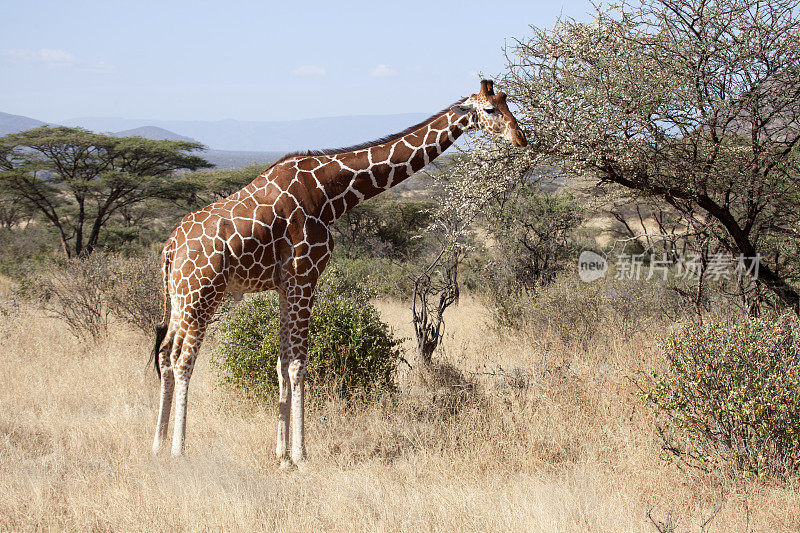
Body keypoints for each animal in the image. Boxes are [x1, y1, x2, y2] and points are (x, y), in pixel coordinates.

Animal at [152, 77, 528, 464]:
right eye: (490, 109)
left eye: (508, 102)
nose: (521, 138)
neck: (329, 196)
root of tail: (169, 248)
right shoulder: (305, 277)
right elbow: (297, 365)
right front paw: (301, 456)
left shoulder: (286, 286)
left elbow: (280, 364)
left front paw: (281, 454)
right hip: (201, 294)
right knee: (183, 360)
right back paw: (178, 449)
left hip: (179, 298)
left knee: (164, 354)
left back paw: (157, 444)